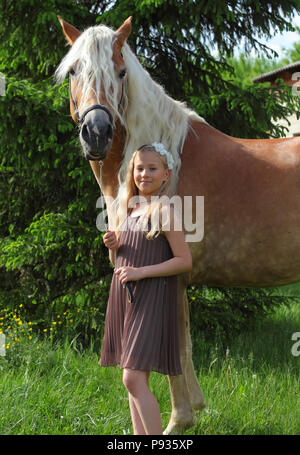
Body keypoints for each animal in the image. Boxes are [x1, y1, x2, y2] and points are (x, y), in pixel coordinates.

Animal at [55, 15, 300, 434]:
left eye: (121, 72)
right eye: (74, 70)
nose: (97, 132)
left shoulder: (172, 275)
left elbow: (175, 353)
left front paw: (178, 421)